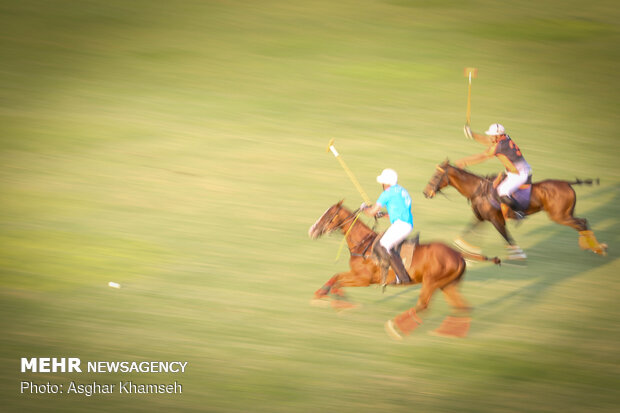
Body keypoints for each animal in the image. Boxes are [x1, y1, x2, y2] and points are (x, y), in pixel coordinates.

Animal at [308, 200, 498, 338]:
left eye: (328, 215)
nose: (312, 231)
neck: (363, 245)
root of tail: (458, 254)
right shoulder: (356, 275)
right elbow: (336, 277)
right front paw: (320, 296)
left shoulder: (364, 280)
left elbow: (338, 281)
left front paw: (341, 303)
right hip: (447, 285)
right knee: (462, 307)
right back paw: (449, 332)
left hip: (431, 282)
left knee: (423, 305)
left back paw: (396, 327)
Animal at [422, 159, 604, 258]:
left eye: (436, 176)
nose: (425, 192)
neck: (478, 190)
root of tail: (567, 183)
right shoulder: (481, 217)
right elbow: (469, 232)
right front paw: (464, 251)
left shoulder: (496, 219)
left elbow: (507, 238)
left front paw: (518, 255)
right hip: (566, 213)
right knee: (582, 222)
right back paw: (594, 247)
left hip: (560, 216)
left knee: (581, 223)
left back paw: (598, 249)